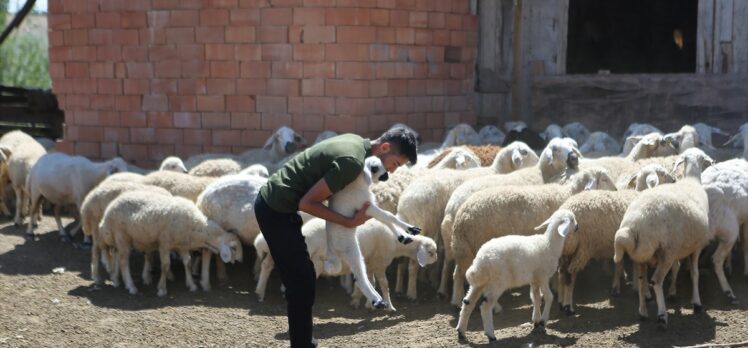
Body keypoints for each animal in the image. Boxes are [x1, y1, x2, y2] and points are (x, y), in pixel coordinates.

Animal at [99, 193, 243, 296]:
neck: (197, 226)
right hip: (121, 236)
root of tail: (108, 211)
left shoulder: (182, 245)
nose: (241, 260)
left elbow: (187, 263)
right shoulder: (164, 243)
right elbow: (165, 265)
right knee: (124, 261)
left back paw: (116, 279)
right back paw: (131, 286)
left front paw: (192, 285)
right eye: (234, 247)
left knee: (117, 256)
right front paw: (162, 289)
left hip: (118, 239)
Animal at [324, 156, 424, 308]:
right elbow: (389, 216)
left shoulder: (370, 209)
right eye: (375, 168)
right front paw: (408, 229)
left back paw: (378, 298)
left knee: (362, 276)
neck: (358, 183)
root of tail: (331, 250)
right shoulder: (366, 208)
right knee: (360, 277)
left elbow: (386, 219)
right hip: (352, 251)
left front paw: (404, 236)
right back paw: (376, 301)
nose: (387, 175)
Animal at [448, 166, 616, 304]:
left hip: (465, 249)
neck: (568, 193)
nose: (616, 191)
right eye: (604, 179)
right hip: (477, 246)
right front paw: (554, 288)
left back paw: (456, 300)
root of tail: (460, 219)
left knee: (458, 273)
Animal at [452, 208, 580, 342]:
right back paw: (491, 335)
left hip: (479, 282)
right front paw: (543, 321)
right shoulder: (543, 277)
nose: (577, 227)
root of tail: (481, 260)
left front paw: (536, 321)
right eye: (572, 219)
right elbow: (549, 297)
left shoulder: (534, 280)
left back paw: (461, 333)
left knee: (467, 303)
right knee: (485, 306)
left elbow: (536, 298)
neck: (549, 244)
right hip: (497, 283)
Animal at [612, 148, 712, 328]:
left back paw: (643, 312)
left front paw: (673, 293)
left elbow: (677, 268)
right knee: (656, 281)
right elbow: (695, 274)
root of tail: (633, 224)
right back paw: (662, 316)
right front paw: (697, 303)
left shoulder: (681, 247)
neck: (691, 181)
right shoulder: (697, 246)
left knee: (641, 280)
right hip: (666, 252)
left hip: (642, 255)